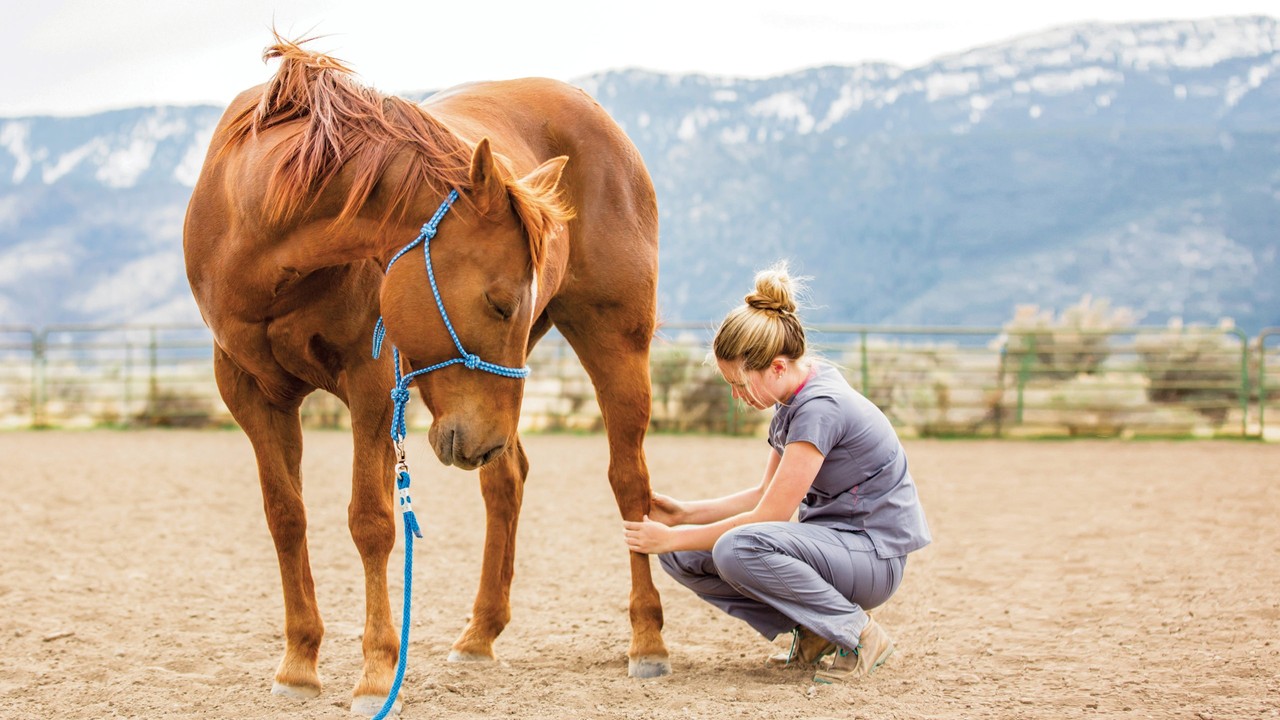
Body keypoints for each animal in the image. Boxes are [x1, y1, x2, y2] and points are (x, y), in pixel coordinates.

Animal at [185, 37, 675, 712]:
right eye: (501, 303)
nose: (479, 440)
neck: (259, 231)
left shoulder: (370, 385)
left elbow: (371, 522)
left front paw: (375, 674)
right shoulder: (250, 393)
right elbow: (286, 518)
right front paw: (299, 663)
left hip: (613, 344)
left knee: (630, 484)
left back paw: (647, 640)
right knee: (507, 481)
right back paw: (479, 634)